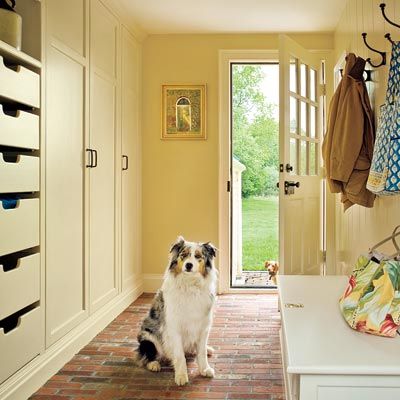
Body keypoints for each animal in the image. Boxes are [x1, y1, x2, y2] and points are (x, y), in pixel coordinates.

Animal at [134, 236, 217, 386]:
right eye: (183, 255)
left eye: (198, 256)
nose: (188, 265)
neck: (190, 285)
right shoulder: (174, 327)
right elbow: (179, 355)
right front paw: (181, 376)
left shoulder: (203, 326)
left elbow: (201, 352)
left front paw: (205, 369)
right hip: (148, 337)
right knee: (146, 353)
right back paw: (154, 364)